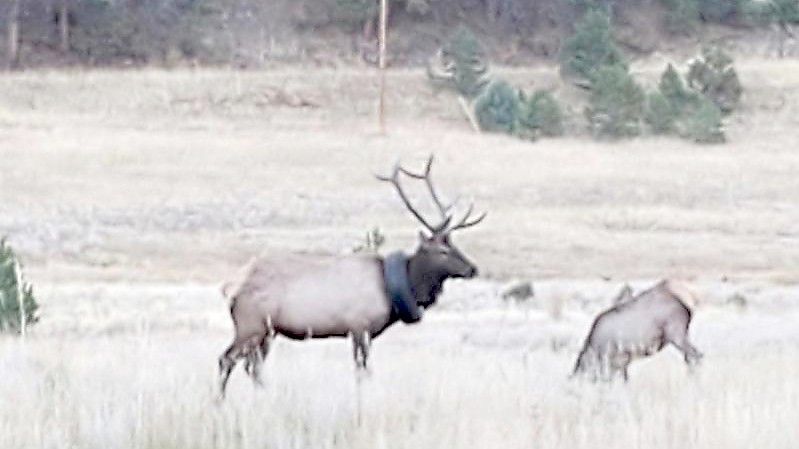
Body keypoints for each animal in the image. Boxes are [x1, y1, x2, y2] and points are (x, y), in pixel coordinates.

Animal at [216, 154, 484, 396]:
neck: (391, 291)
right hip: (251, 325)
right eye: (442, 251)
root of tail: (230, 288)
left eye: (454, 245)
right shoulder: (359, 326)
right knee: (226, 360)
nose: (472, 269)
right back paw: (219, 402)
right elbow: (363, 370)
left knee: (253, 368)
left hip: (266, 332)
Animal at [572, 278, 704, 380]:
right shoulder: (621, 363)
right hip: (682, 335)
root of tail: (685, 306)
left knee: (696, 356)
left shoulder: (618, 360)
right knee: (690, 358)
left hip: (676, 335)